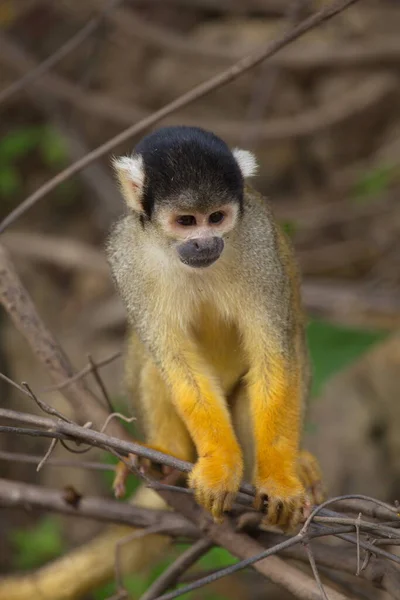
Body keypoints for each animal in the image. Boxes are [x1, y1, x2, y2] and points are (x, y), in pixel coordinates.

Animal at [108, 125, 324, 528]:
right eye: (186, 221)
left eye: (217, 217)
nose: (204, 243)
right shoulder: (126, 255)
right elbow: (180, 365)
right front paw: (220, 466)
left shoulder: (257, 241)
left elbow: (273, 358)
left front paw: (278, 480)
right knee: (153, 362)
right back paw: (166, 455)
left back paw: (291, 464)